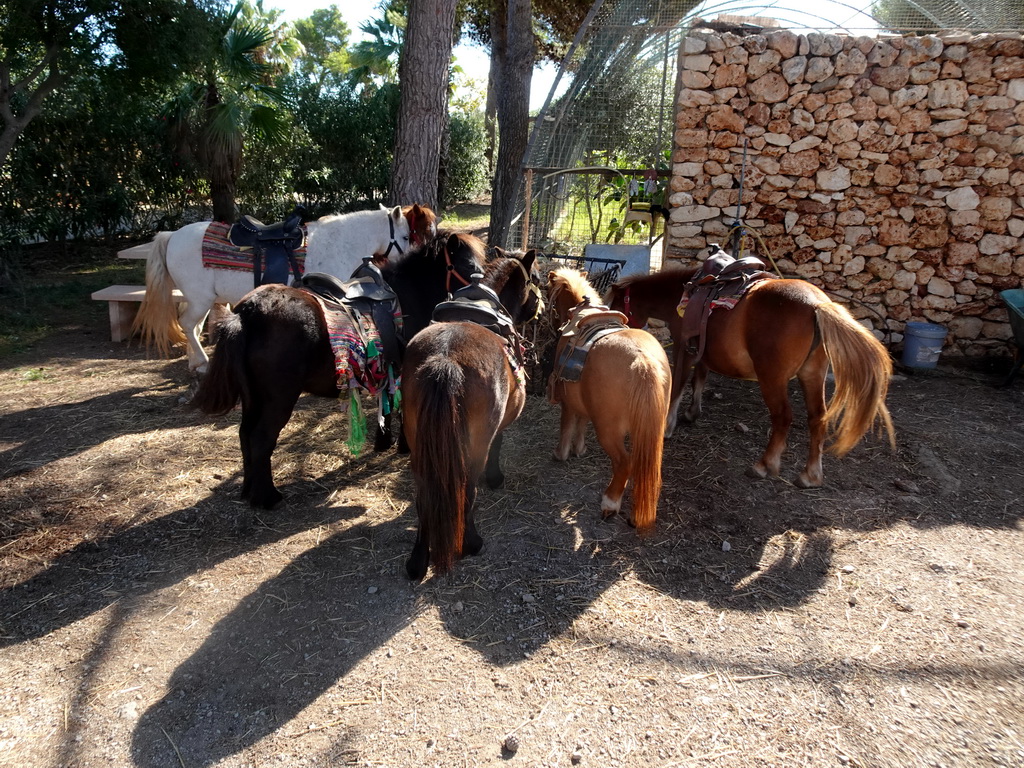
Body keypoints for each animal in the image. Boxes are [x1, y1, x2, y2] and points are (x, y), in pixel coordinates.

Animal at [134, 202, 409, 374]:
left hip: (200, 299)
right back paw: (201, 361)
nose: (407, 259)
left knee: (192, 325)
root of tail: (172, 235)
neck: (340, 242)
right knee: (188, 324)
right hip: (200, 299)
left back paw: (195, 362)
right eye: (405, 236)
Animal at [191, 231, 487, 514]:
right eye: (469, 265)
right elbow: (401, 409)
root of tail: (247, 312)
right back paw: (267, 497)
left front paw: (384, 441)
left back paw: (249, 489)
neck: (408, 294)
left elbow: (387, 404)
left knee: (244, 435)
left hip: (252, 397)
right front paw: (403, 444)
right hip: (278, 399)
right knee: (261, 438)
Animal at [401, 252, 544, 581]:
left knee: (424, 496)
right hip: (473, 446)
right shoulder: (498, 426)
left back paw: (417, 561)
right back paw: (472, 542)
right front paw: (496, 477)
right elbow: (499, 444)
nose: (540, 309)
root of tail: (445, 358)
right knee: (468, 489)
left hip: (419, 445)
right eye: (535, 279)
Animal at [544, 270, 671, 536]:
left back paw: (610, 503)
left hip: (609, 431)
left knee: (624, 463)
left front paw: (562, 453)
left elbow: (567, 426)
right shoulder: (584, 403)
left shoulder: (568, 403)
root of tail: (643, 360)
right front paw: (579, 449)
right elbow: (581, 424)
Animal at [602, 268, 892, 487]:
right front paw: (692, 413)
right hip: (813, 374)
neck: (680, 295)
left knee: (783, 417)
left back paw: (764, 465)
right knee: (817, 418)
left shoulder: (684, 347)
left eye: (616, 305)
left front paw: (668, 425)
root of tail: (816, 305)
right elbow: (700, 379)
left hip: (772, 378)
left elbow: (680, 383)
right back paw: (810, 475)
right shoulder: (703, 351)